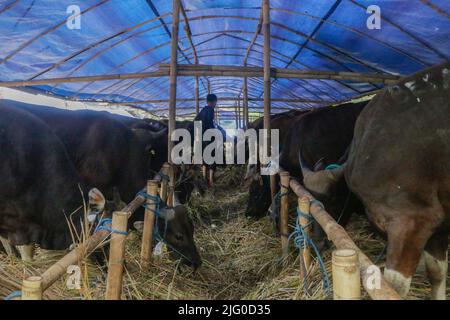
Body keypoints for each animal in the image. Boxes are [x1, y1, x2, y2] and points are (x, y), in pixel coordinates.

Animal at [304, 62, 448, 298]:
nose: (317, 242)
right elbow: (436, 273)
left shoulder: (414, 220)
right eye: (312, 200)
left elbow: (395, 287)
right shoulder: (441, 224)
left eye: (333, 200)